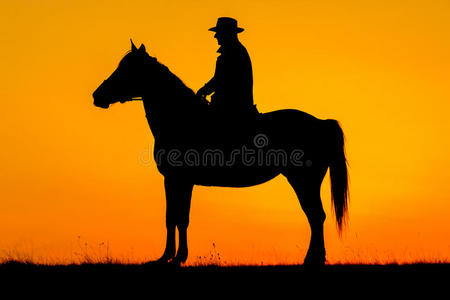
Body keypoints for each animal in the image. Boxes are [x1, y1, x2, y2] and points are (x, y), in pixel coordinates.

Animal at [93, 39, 350, 264]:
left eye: (127, 68)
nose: (97, 96)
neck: (181, 118)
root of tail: (321, 123)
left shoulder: (178, 179)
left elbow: (178, 217)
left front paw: (173, 257)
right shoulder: (177, 181)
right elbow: (175, 218)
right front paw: (171, 256)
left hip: (303, 180)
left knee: (315, 215)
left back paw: (312, 259)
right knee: (316, 216)